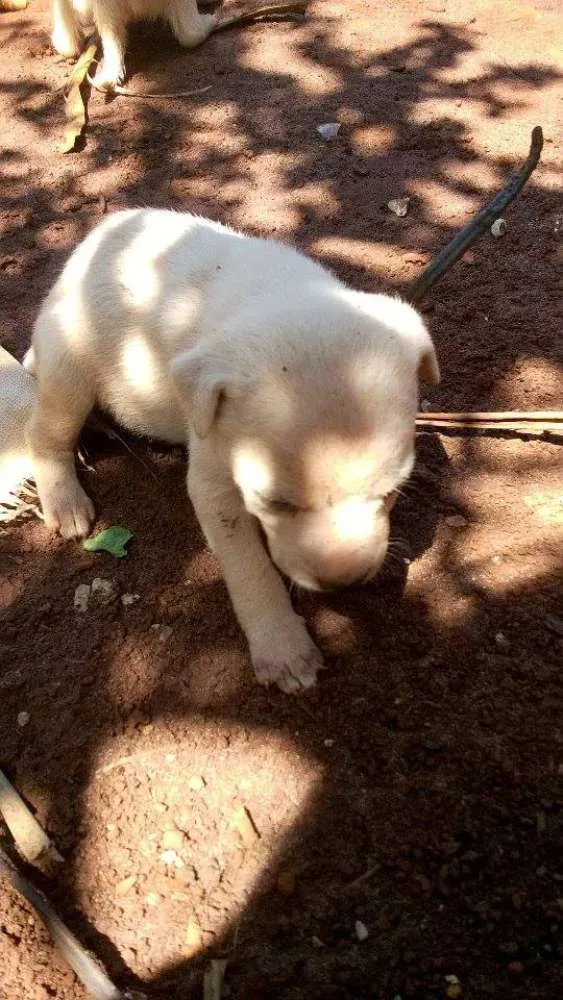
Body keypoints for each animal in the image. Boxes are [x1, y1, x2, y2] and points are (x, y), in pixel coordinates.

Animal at [25, 209, 440, 696]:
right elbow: (250, 567)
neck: (275, 292)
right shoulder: (213, 482)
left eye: (392, 491)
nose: (342, 581)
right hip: (70, 366)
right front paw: (283, 648)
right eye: (273, 503)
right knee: (45, 433)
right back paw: (65, 500)